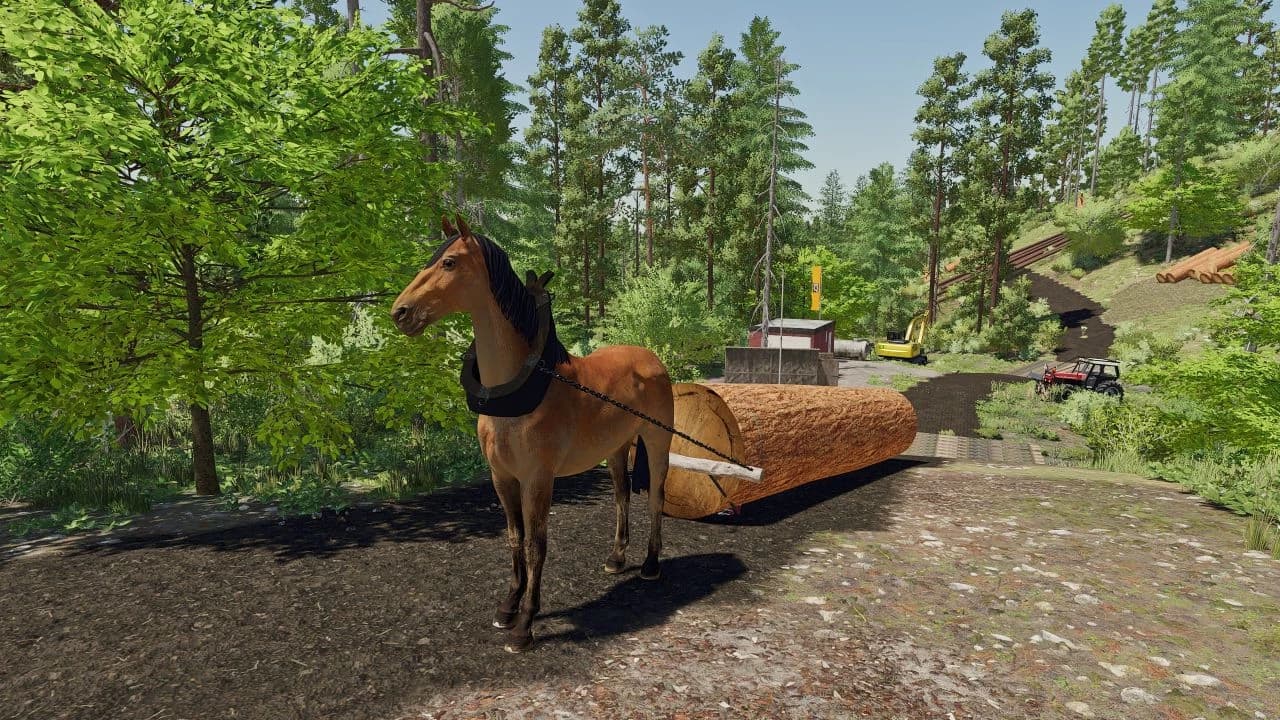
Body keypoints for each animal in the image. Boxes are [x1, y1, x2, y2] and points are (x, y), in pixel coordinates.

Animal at [391, 215, 674, 653]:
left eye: (449, 263)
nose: (400, 312)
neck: (519, 394)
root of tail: (651, 359)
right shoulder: (503, 477)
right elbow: (514, 538)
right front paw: (507, 607)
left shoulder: (538, 479)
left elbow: (535, 544)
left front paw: (524, 624)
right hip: (615, 448)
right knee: (621, 496)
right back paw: (616, 558)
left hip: (657, 443)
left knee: (656, 496)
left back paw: (650, 564)